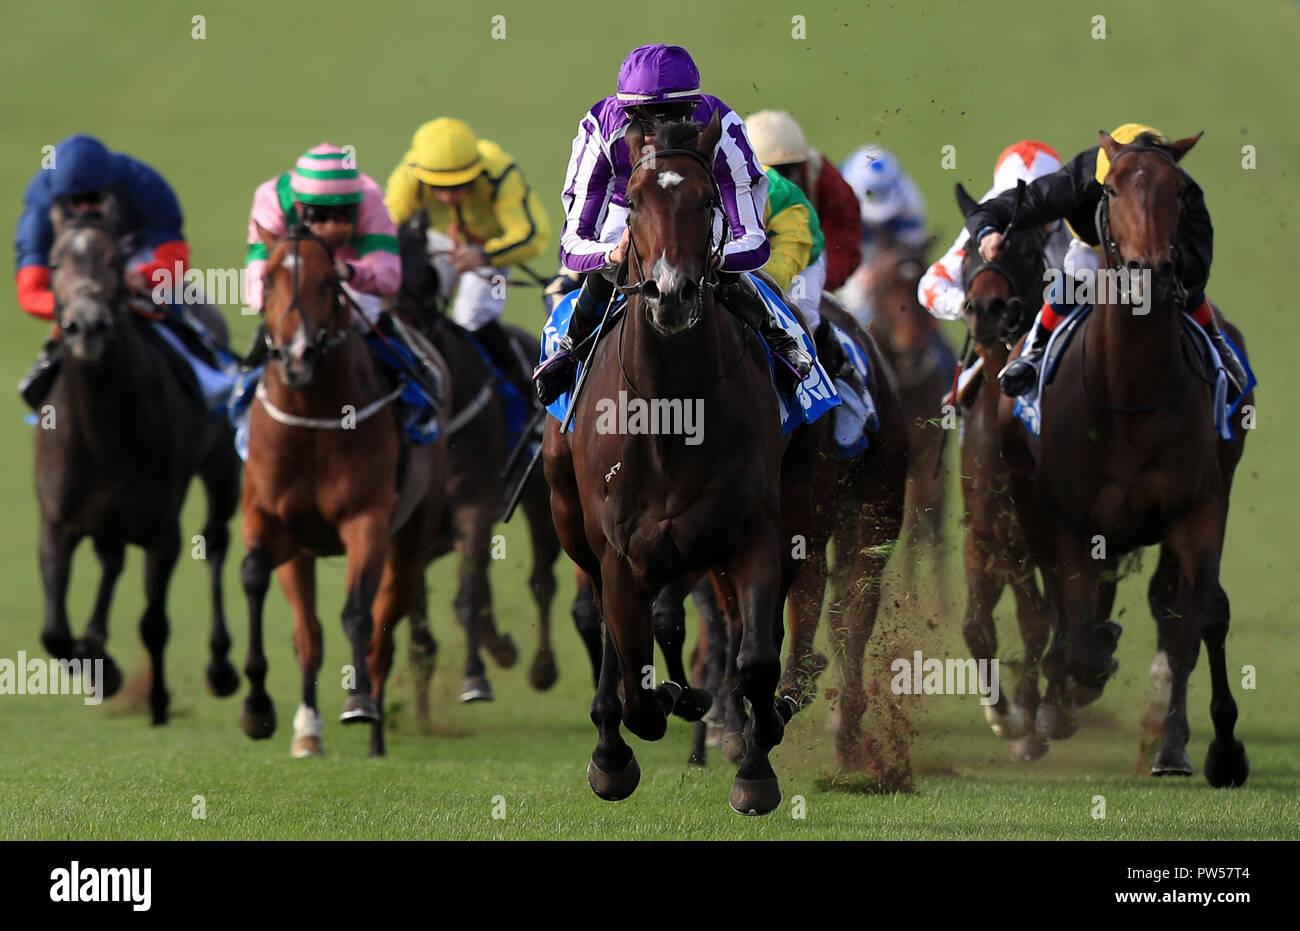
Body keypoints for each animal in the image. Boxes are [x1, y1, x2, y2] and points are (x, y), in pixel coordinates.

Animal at [35, 206, 243, 722]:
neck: (103, 434)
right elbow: (54, 632)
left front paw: (158, 701)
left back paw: (221, 667)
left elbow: (154, 622)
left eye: (114, 260)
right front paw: (99, 664)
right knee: (110, 561)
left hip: (221, 468)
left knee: (215, 542)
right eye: (54, 263)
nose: (86, 326)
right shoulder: (56, 519)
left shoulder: (161, 528)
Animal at [241, 224, 449, 754]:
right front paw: (257, 709)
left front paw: (358, 703)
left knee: (382, 635)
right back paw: (307, 734)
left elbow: (357, 612)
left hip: (410, 541)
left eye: (329, 283)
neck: (313, 418)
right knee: (307, 633)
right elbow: (254, 578)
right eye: (267, 279)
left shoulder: (366, 520)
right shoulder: (271, 521)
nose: (296, 357)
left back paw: (375, 735)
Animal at [543, 114, 826, 816]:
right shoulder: (620, 552)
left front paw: (756, 764)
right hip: (571, 520)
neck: (674, 413)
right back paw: (614, 746)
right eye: (637, 201)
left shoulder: (754, 536)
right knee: (612, 637)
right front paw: (645, 725)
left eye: (705, 202)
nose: (672, 294)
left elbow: (756, 660)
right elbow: (637, 685)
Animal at [998, 130, 1253, 785]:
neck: (1131, 396)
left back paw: (1169, 743)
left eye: (1180, 192)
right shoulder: (1069, 520)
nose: (1150, 272)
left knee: (1174, 615)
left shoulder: (1199, 507)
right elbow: (1076, 627)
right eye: (1110, 190)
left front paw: (1221, 749)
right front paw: (1071, 689)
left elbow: (1203, 616)